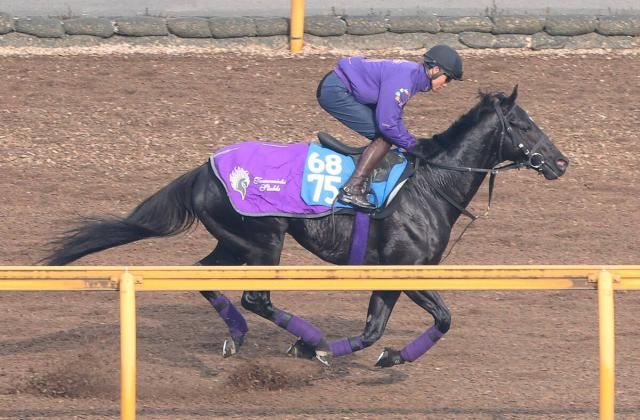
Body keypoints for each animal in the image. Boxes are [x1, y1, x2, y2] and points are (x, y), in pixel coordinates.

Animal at [44, 86, 569, 368]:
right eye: (524, 125)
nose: (561, 162)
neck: (430, 184)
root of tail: (204, 169)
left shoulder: (389, 274)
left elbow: (375, 329)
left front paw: (373, 354)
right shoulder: (407, 268)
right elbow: (442, 318)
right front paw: (315, 349)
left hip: (235, 242)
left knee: (203, 275)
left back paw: (239, 335)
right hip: (263, 241)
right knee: (256, 298)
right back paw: (304, 335)